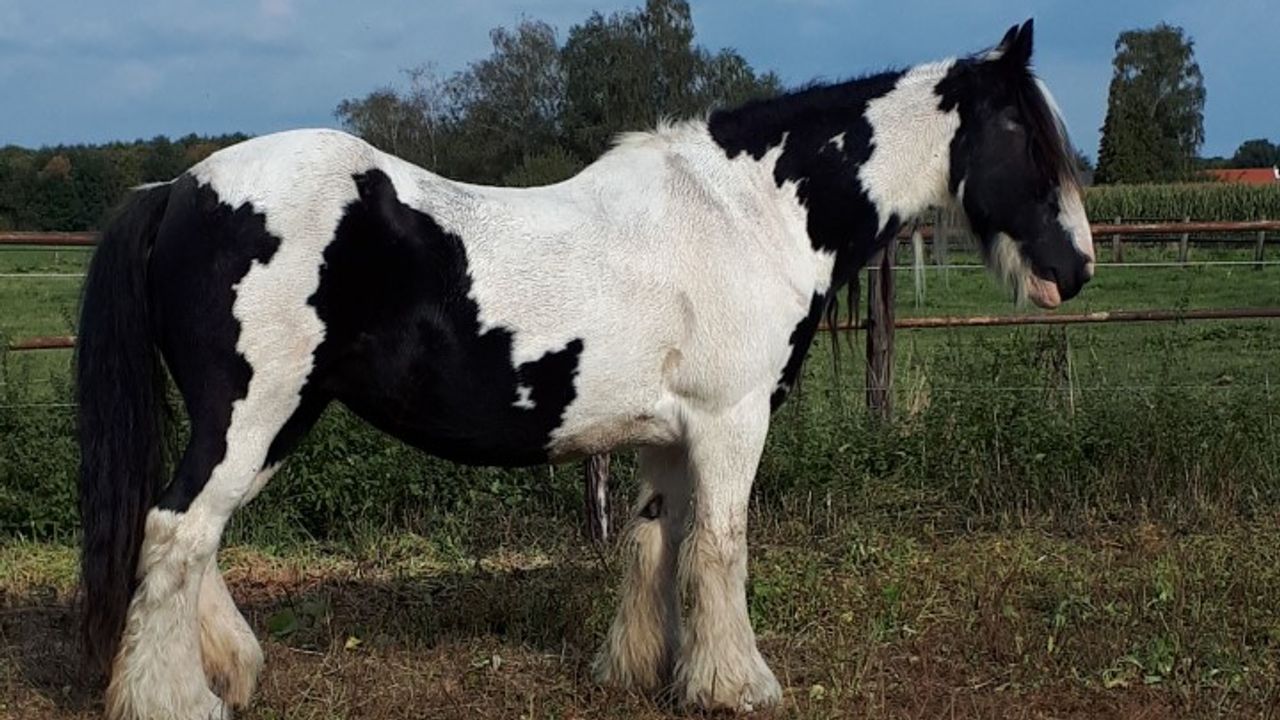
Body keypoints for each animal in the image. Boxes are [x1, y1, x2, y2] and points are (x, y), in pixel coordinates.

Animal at [77, 19, 1092, 718]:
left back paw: (228, 671)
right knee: (177, 530)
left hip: (274, 422)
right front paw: (738, 686)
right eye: (1024, 136)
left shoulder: (669, 436)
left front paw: (644, 672)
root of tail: (177, 189)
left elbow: (656, 546)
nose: (1075, 269)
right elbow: (720, 548)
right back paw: (175, 700)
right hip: (249, 415)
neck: (746, 214)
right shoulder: (732, 423)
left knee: (195, 539)